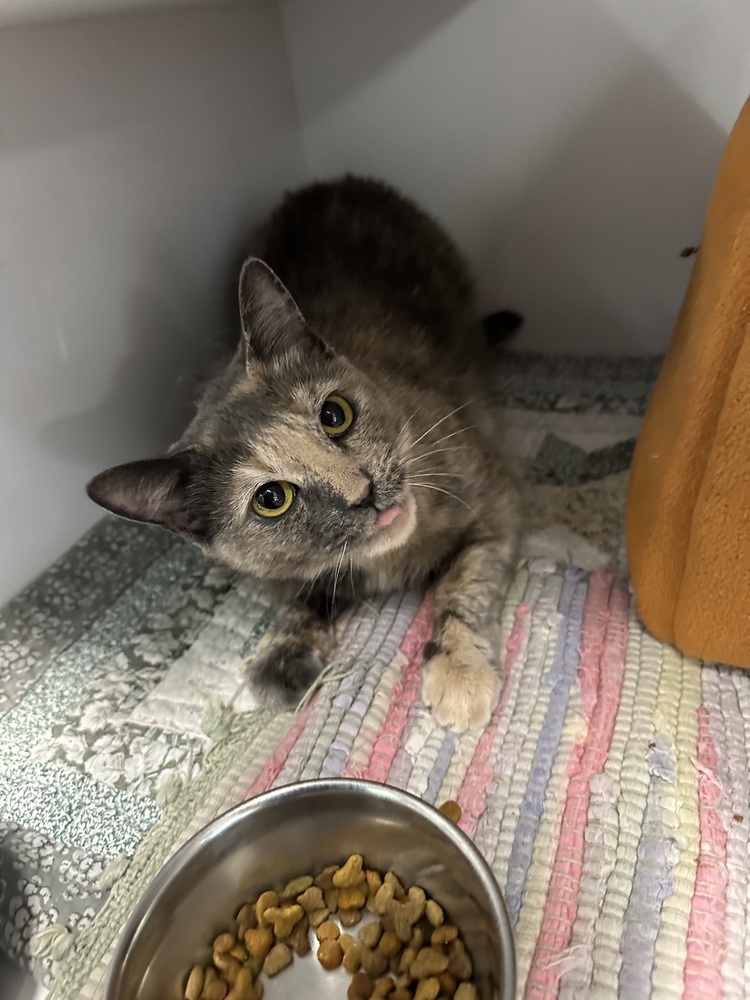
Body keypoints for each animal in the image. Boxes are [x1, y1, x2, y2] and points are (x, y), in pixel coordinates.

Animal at [86, 176, 524, 732]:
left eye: (335, 414)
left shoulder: (495, 495)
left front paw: (461, 671)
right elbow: (298, 594)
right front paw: (284, 654)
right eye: (272, 499)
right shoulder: (278, 574)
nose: (363, 491)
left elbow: (467, 582)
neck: (388, 557)